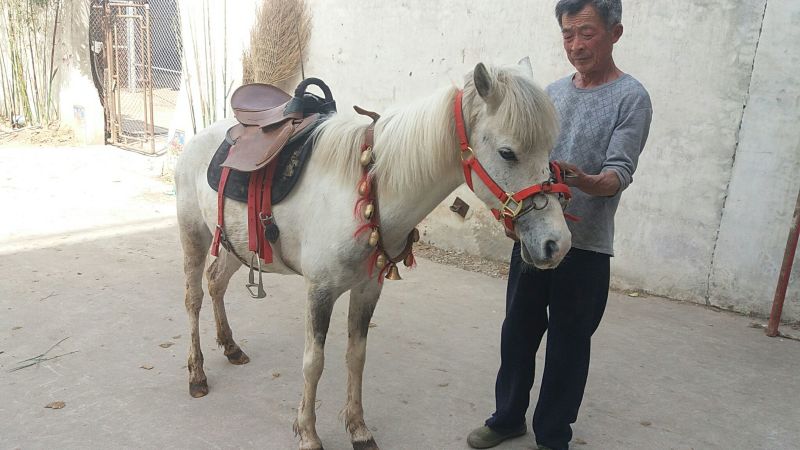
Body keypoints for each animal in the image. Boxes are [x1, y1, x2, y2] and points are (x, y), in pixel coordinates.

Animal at [175, 60, 571, 450]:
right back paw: (197, 375)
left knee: (216, 282)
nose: (558, 243)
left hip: (235, 243)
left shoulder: (368, 288)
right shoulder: (319, 291)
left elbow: (356, 356)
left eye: (549, 151)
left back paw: (230, 347)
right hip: (193, 234)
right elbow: (314, 362)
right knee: (193, 297)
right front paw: (308, 433)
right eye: (507, 152)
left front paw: (358, 428)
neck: (367, 191)